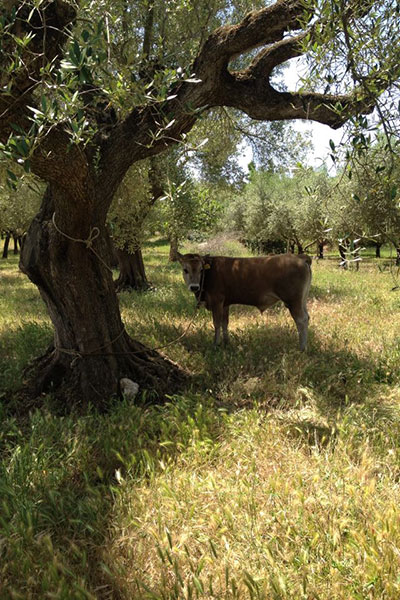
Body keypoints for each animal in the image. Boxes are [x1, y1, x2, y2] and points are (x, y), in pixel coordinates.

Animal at [178, 252, 312, 352]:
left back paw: (302, 348)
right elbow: (224, 323)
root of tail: (299, 257)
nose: (194, 287)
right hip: (301, 301)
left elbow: (216, 323)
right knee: (306, 317)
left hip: (293, 301)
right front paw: (226, 342)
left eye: (201, 270)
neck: (209, 274)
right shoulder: (225, 304)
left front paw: (216, 344)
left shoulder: (217, 301)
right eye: (185, 270)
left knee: (301, 320)